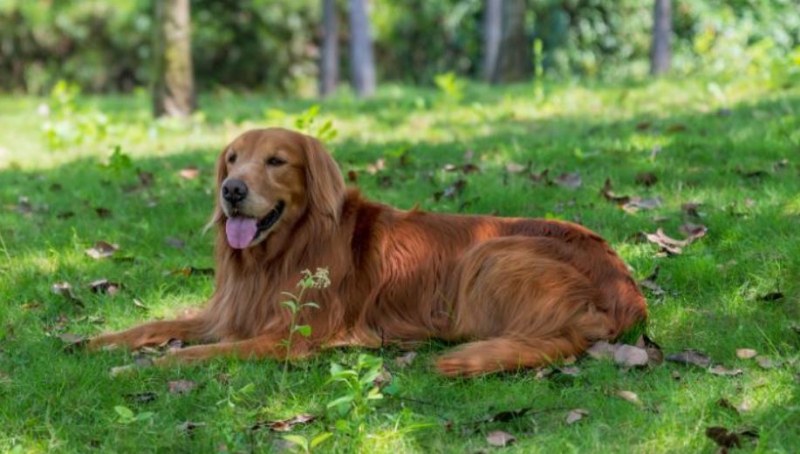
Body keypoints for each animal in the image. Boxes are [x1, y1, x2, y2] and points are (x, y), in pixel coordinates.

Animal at [90, 127, 648, 376]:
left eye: (275, 161)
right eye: (232, 158)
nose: (231, 190)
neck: (282, 252)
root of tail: (626, 295)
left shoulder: (288, 337)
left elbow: (198, 353)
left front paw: (136, 368)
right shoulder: (229, 312)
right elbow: (156, 325)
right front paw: (94, 341)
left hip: (489, 253)